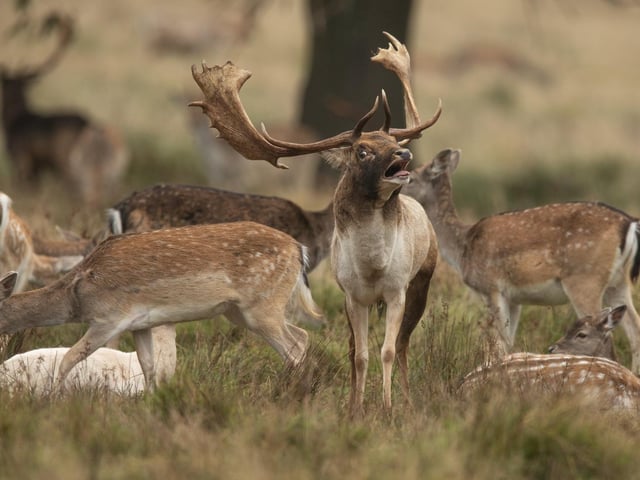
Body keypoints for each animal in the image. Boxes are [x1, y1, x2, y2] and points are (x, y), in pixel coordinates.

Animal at [0, 221, 322, 390]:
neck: (77, 295)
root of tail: (299, 250)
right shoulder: (141, 324)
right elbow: (149, 367)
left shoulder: (109, 319)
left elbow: (68, 359)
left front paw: (52, 397)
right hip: (239, 312)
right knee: (302, 336)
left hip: (262, 307)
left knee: (295, 346)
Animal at [189, 31, 441, 415]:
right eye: (362, 151)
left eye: (393, 141)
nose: (405, 153)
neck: (373, 267)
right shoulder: (351, 295)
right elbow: (360, 355)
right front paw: (356, 409)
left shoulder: (397, 289)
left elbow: (387, 349)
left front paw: (387, 408)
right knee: (358, 348)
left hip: (422, 281)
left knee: (404, 345)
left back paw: (408, 401)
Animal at [403, 147, 640, 373]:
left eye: (411, 178)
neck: (462, 249)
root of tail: (628, 222)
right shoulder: (514, 298)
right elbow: (508, 341)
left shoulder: (491, 287)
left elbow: (498, 342)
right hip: (617, 283)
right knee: (635, 330)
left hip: (584, 279)